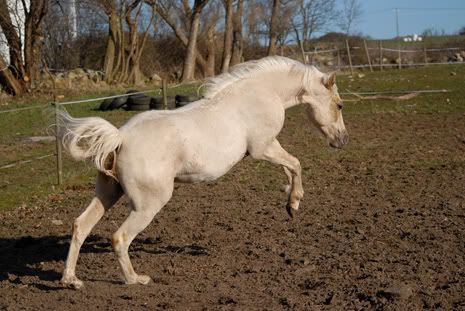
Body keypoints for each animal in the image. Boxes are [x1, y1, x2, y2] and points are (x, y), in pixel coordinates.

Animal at [58, 56, 346, 290]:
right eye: (340, 105)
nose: (342, 140)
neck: (261, 92)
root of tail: (121, 138)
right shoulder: (263, 147)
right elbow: (295, 164)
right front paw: (294, 202)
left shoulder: (268, 147)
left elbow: (289, 167)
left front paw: (289, 200)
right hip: (147, 205)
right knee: (120, 237)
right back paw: (135, 279)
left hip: (108, 193)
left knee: (80, 226)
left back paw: (71, 281)